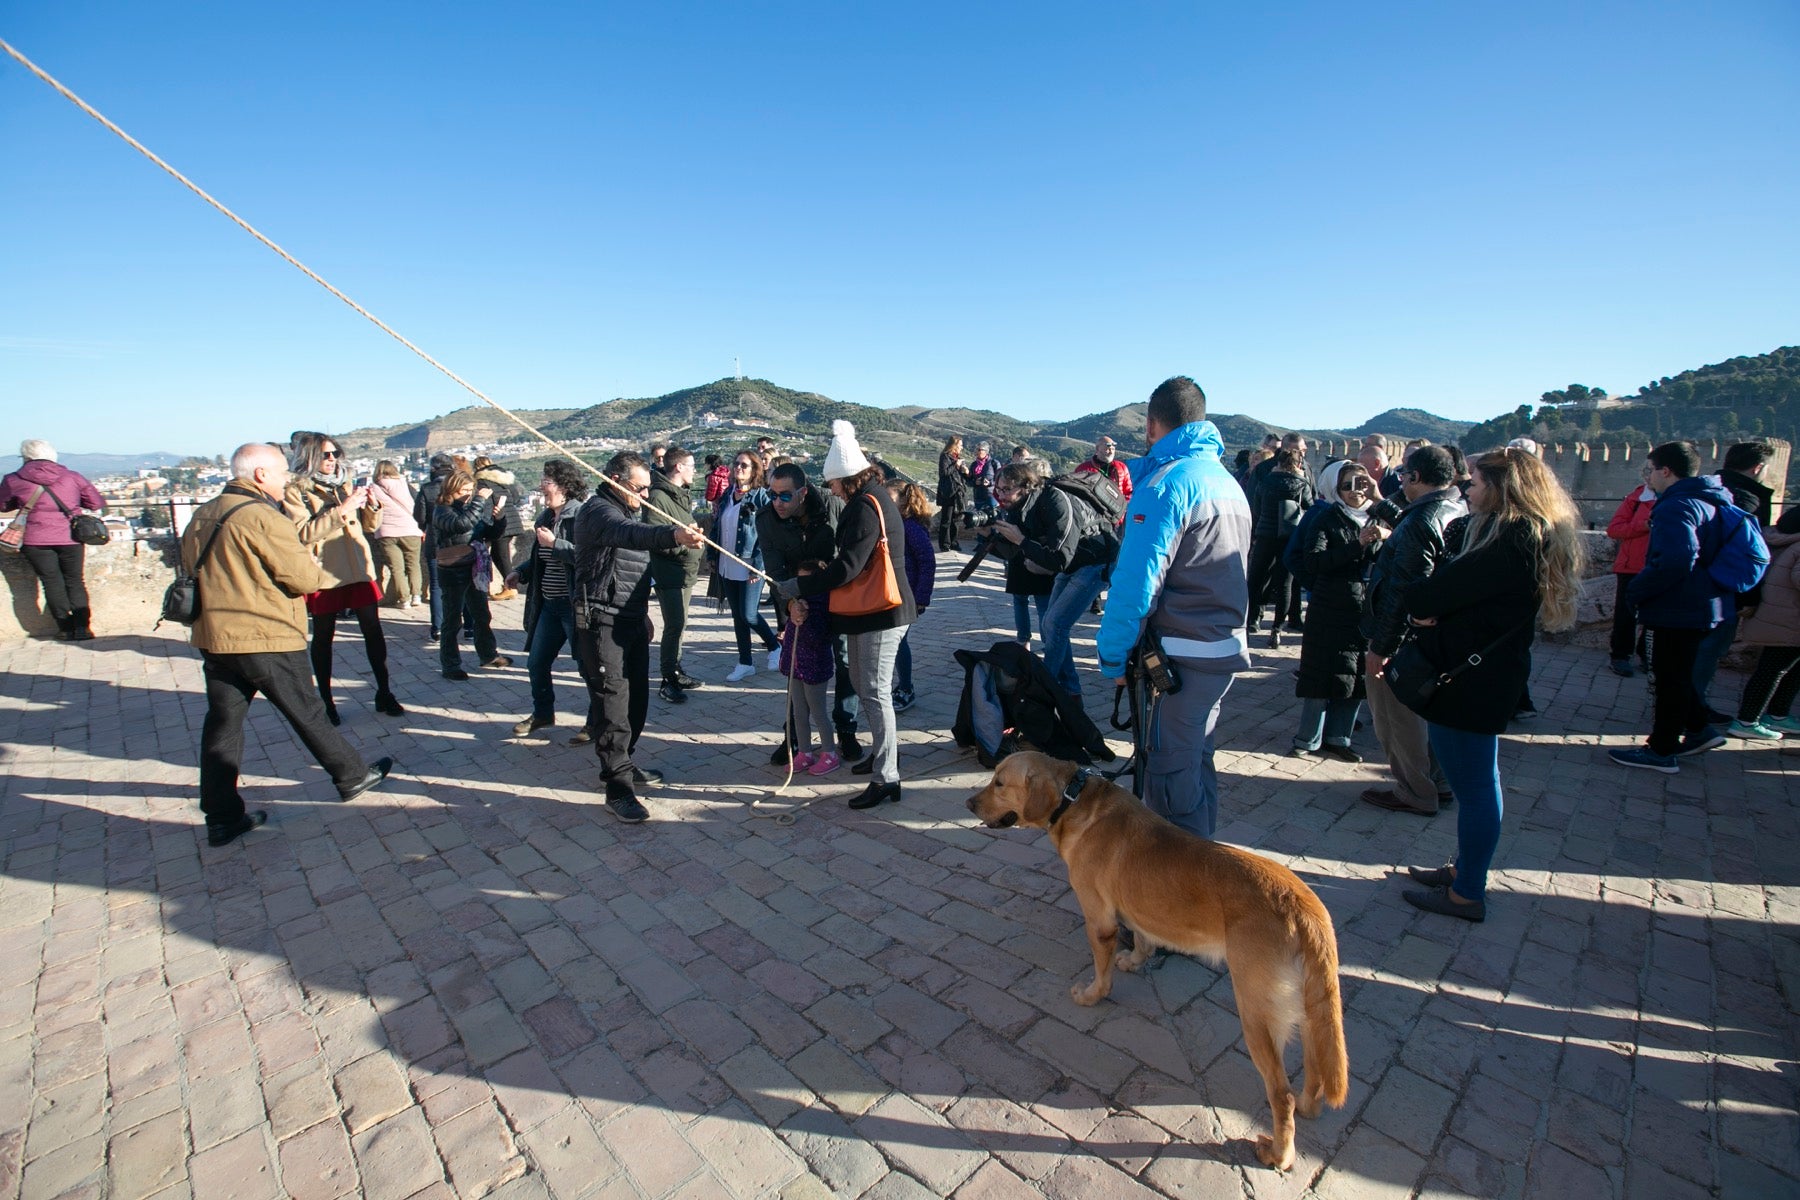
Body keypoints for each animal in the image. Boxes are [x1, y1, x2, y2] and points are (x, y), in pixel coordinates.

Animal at [964, 755, 1346, 1165]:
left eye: (999, 783)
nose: (968, 803)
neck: (1074, 798)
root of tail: (1305, 908)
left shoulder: (1100, 920)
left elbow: (1102, 971)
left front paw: (1093, 995)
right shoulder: (1134, 908)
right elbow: (1143, 937)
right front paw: (1135, 960)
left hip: (1257, 1013)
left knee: (1281, 1094)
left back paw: (1279, 1153)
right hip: (1308, 1011)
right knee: (1315, 1071)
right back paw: (1309, 1107)